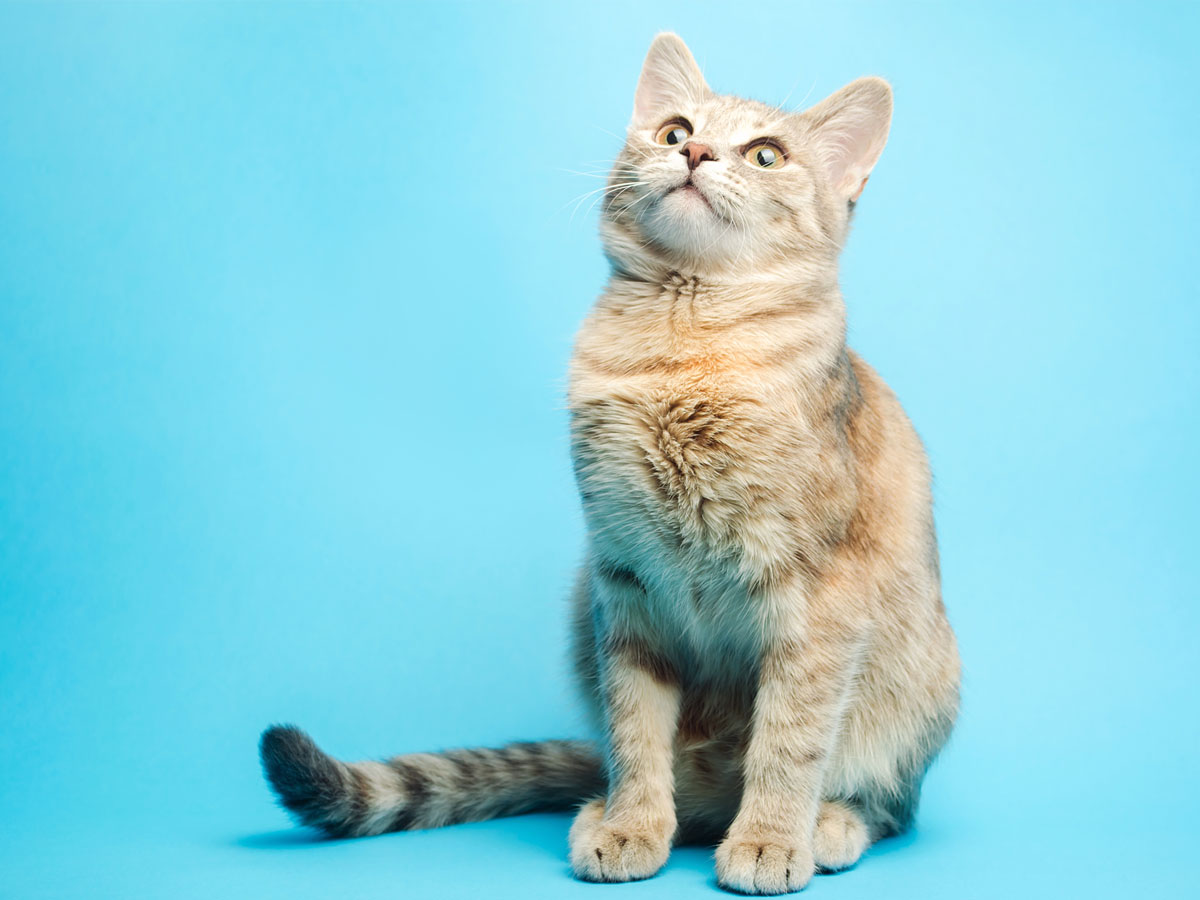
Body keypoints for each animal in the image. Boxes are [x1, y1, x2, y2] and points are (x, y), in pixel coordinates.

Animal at [260, 31, 955, 897]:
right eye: (673, 129)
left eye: (766, 154)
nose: (694, 152)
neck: (680, 353)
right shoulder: (625, 583)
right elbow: (634, 729)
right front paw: (633, 825)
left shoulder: (816, 596)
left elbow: (789, 738)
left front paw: (768, 839)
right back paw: (611, 808)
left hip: (922, 683)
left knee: (886, 801)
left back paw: (824, 825)